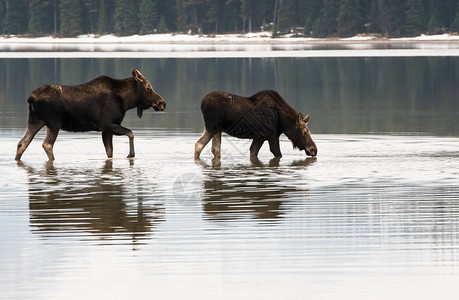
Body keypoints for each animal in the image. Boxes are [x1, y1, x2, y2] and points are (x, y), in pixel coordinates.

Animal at [15, 69, 166, 161]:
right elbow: (131, 132)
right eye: (148, 88)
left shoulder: (106, 129)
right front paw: (131, 154)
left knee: (22, 143)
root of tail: (31, 98)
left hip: (36, 120)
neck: (126, 101)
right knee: (47, 144)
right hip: (53, 123)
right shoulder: (108, 124)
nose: (162, 103)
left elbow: (110, 152)